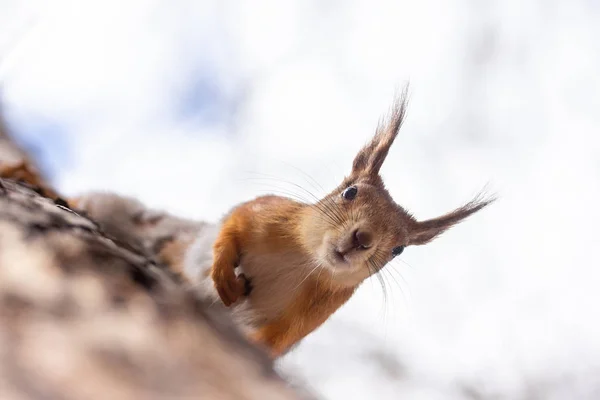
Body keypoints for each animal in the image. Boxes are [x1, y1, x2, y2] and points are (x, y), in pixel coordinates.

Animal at [189, 92, 496, 358]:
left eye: (398, 250)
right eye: (350, 192)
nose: (363, 239)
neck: (302, 262)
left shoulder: (312, 314)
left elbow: (275, 340)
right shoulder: (266, 213)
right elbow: (233, 224)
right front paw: (223, 274)